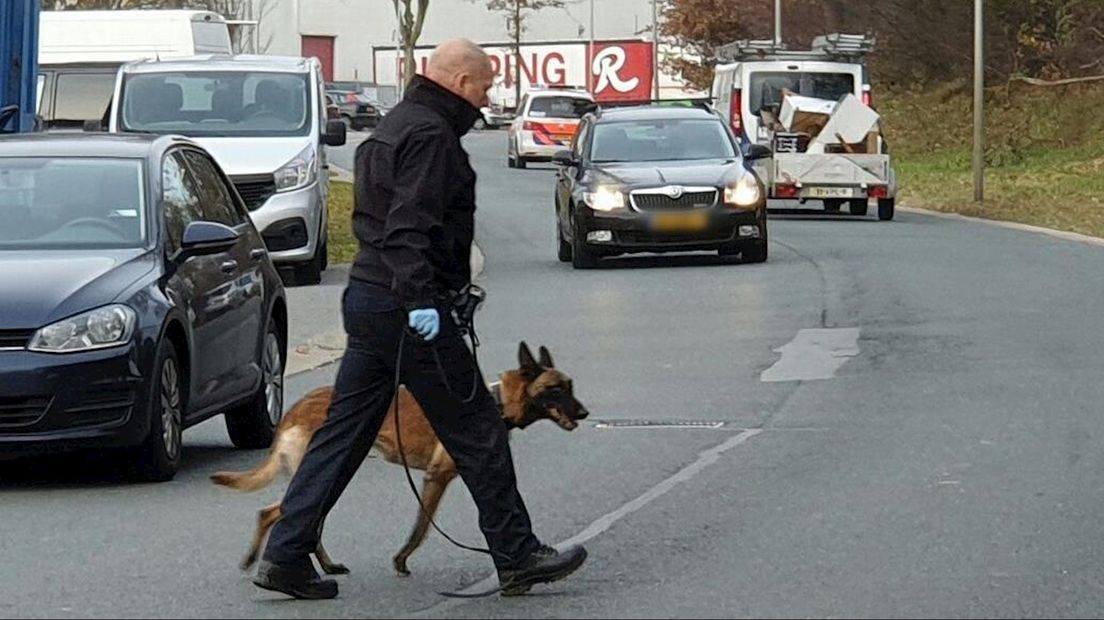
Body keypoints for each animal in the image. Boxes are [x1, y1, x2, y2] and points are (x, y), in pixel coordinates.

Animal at [207, 337, 587, 573]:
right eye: (555, 389)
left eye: (571, 386)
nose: (584, 413)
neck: (497, 400)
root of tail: (292, 410)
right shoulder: (437, 477)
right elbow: (421, 527)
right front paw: (402, 559)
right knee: (274, 513)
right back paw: (259, 559)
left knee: (298, 521)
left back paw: (319, 567)